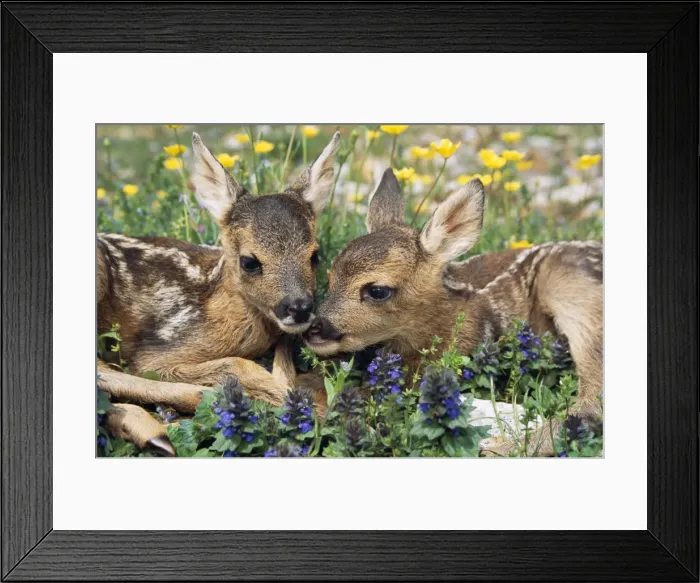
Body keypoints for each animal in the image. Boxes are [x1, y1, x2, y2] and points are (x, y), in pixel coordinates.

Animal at [97, 131, 340, 455]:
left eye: (315, 255)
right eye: (249, 262)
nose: (299, 308)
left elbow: (284, 352)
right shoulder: (152, 355)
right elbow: (235, 364)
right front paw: (292, 400)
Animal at [304, 168, 603, 457]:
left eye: (378, 290)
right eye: (330, 276)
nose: (314, 329)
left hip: (572, 290)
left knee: (592, 402)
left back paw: (499, 448)